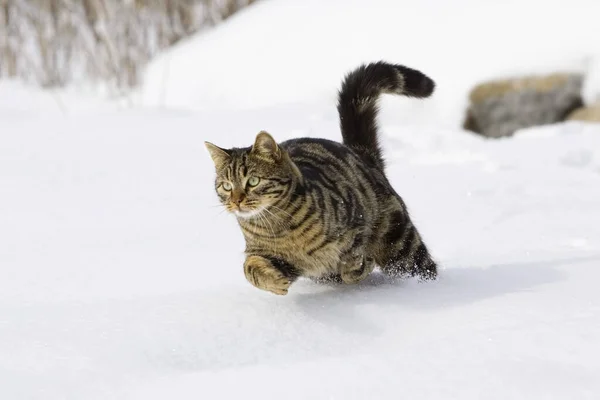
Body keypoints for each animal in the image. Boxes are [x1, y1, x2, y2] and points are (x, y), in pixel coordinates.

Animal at [205, 61, 436, 296]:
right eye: (226, 186)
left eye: (253, 181)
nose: (236, 201)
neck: (278, 227)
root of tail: (361, 154)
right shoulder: (267, 254)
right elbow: (249, 267)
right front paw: (275, 281)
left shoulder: (356, 225)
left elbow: (352, 260)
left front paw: (358, 267)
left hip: (399, 242)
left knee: (424, 268)